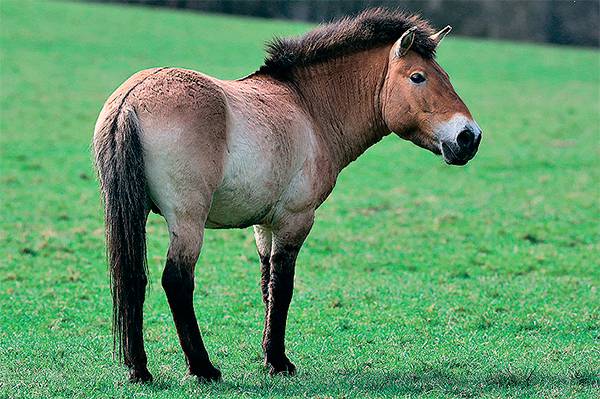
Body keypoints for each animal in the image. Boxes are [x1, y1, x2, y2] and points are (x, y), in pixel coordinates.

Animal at [92, 7, 482, 384]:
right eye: (418, 77)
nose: (469, 137)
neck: (309, 108)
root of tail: (130, 100)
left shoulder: (264, 225)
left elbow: (266, 284)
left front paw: (269, 356)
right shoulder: (294, 219)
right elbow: (283, 287)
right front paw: (279, 362)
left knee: (132, 278)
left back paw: (139, 369)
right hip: (188, 220)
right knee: (176, 281)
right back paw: (202, 368)